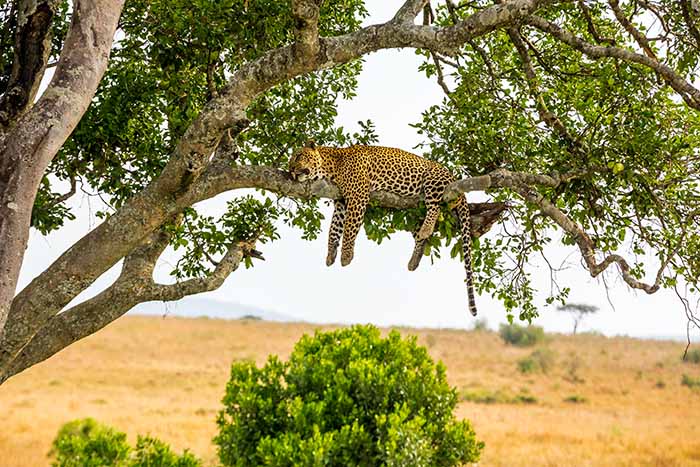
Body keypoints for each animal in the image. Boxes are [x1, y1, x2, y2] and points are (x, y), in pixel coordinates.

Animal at [289, 141, 478, 316]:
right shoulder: (341, 202)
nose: (290, 169)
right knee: (420, 235)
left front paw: (346, 256)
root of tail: (454, 178)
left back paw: (426, 229)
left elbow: (349, 229)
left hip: (433, 180)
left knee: (436, 206)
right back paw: (414, 259)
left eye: (298, 156)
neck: (331, 166)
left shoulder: (358, 196)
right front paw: (330, 254)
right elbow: (333, 230)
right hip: (414, 211)